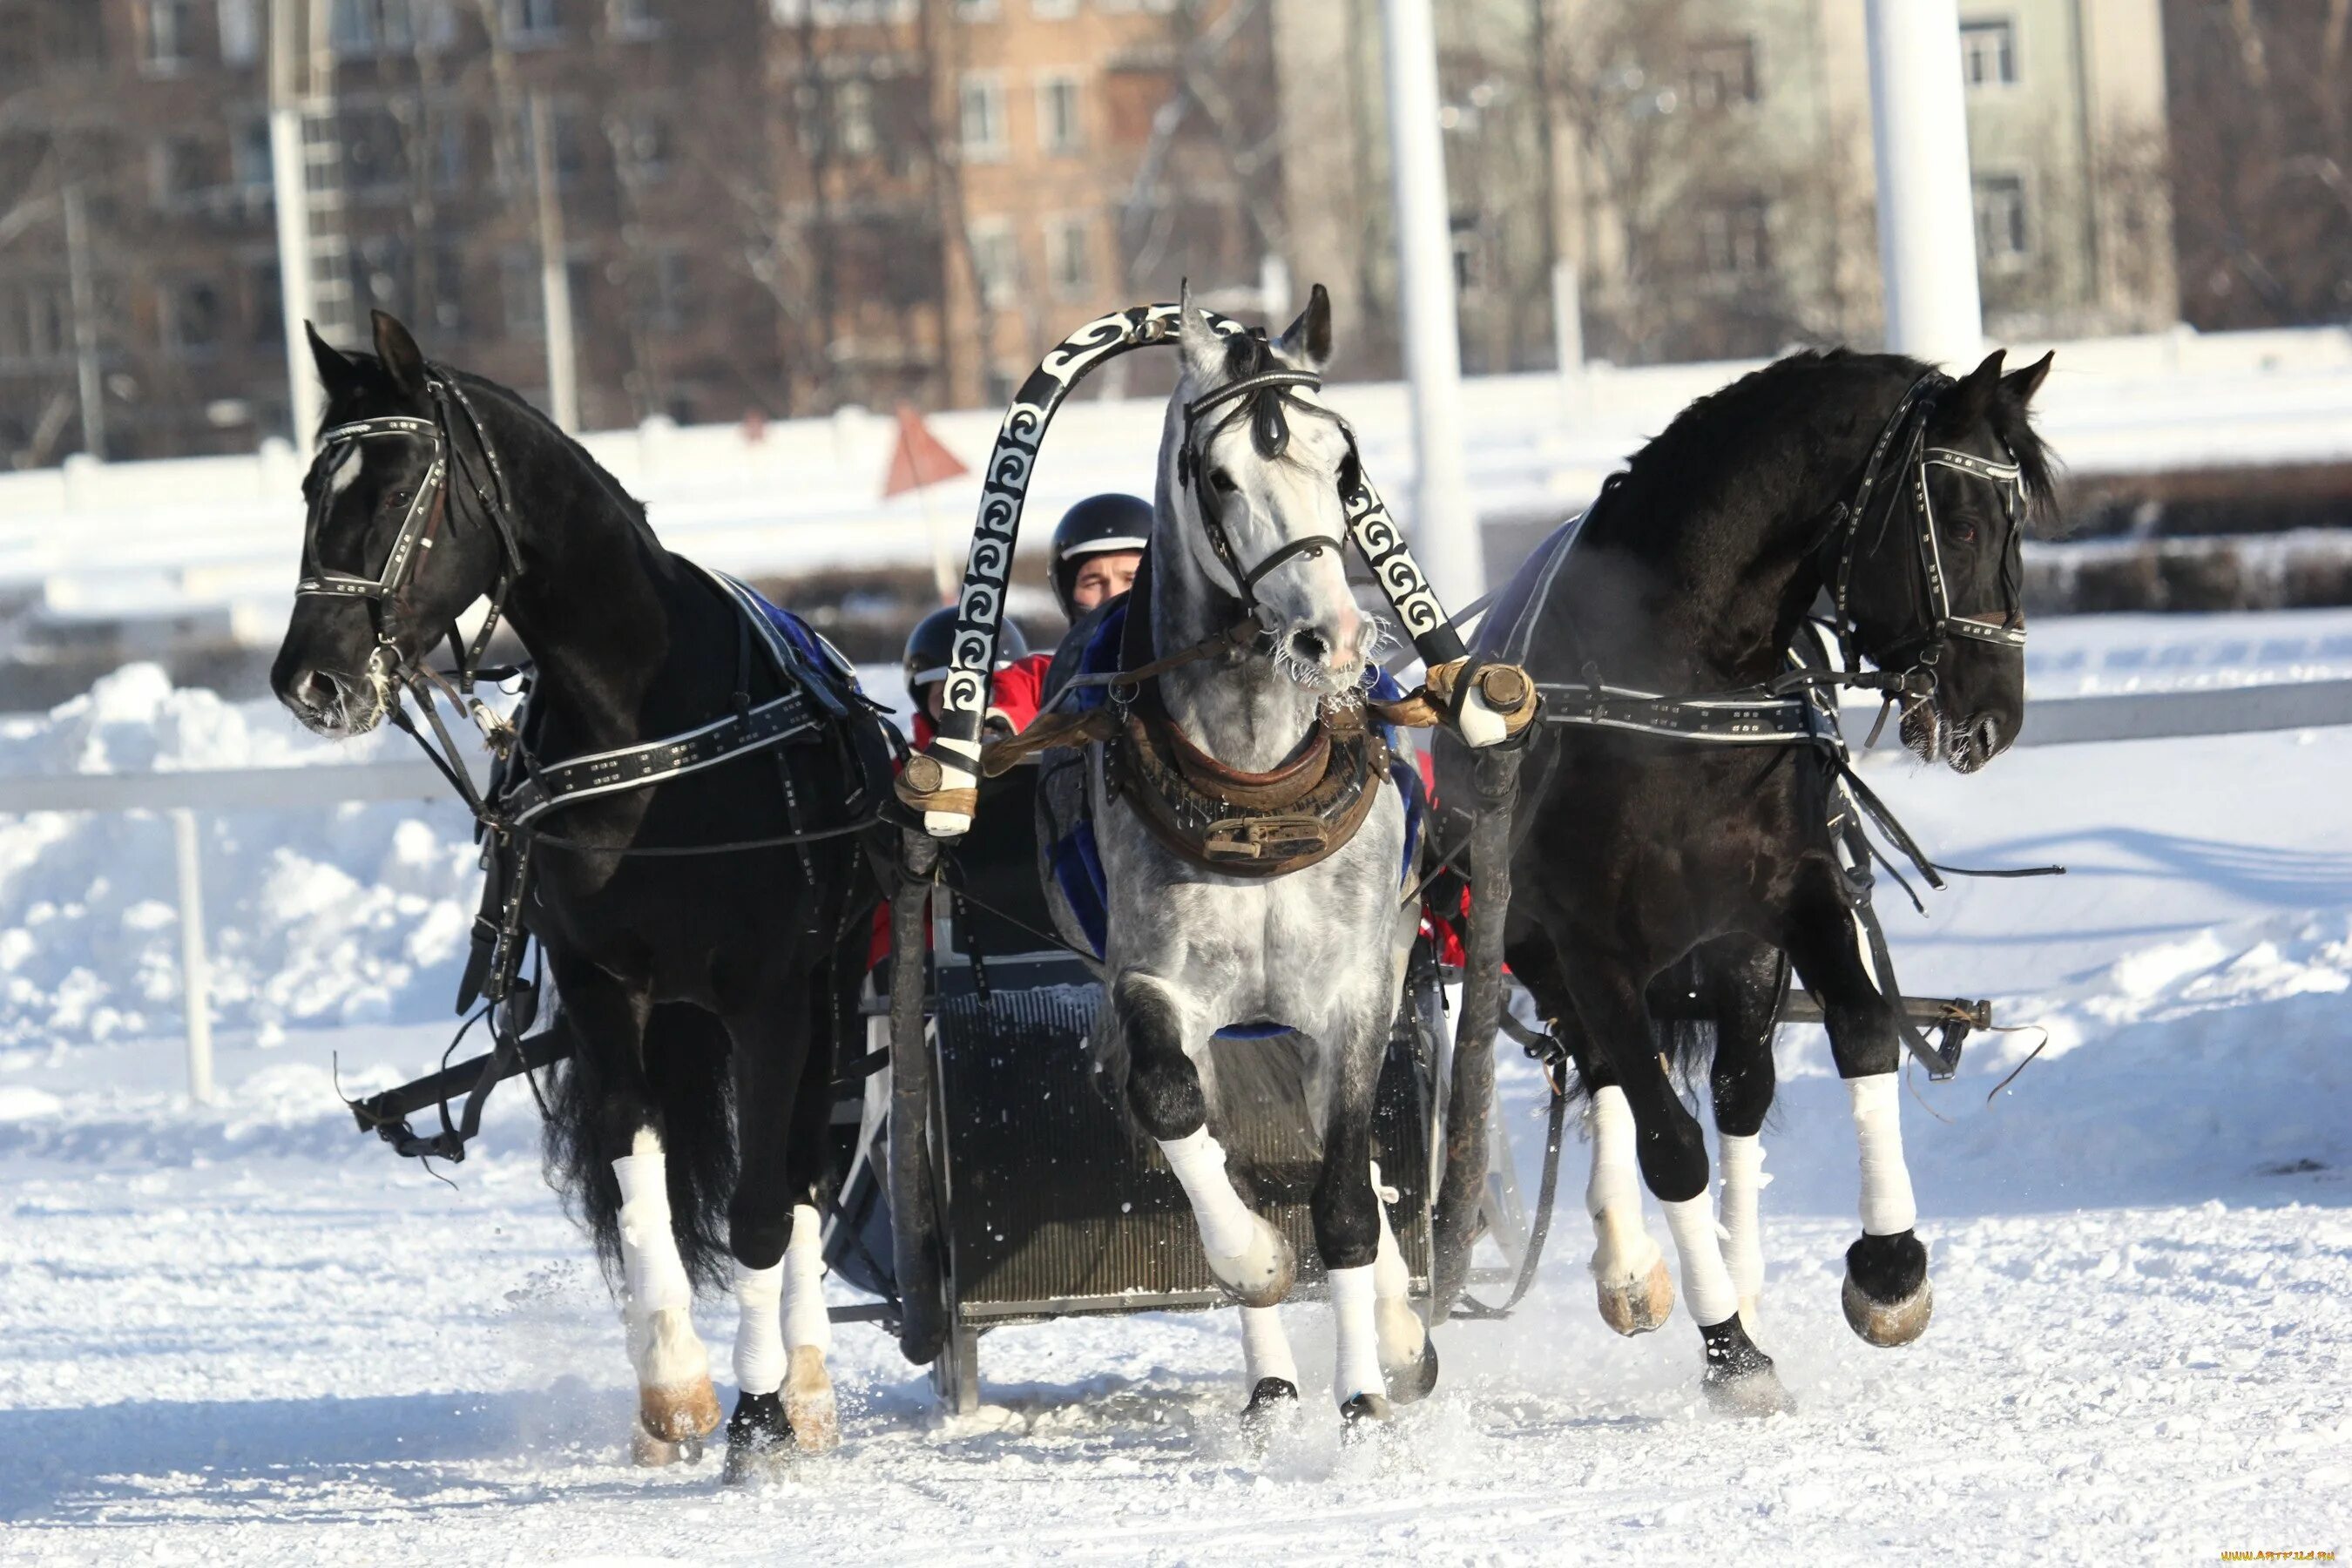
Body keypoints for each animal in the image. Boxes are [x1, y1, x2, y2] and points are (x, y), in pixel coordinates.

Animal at [273, 312, 889, 1476]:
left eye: (394, 488)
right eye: (310, 489)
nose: (309, 681)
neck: (644, 724)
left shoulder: (771, 996)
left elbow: (760, 1208)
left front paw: (760, 1411)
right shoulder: (605, 987)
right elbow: (635, 1170)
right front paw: (676, 1395)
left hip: (833, 999)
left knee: (802, 1174)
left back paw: (805, 1381)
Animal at [1429, 350, 2060, 1419]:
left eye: (2020, 522)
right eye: (1966, 523)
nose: (1994, 720)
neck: (1679, 677)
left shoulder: (1790, 900)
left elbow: (1857, 1031)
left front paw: (1888, 1268)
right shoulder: (1590, 945)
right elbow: (1665, 1138)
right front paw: (1729, 1348)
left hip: (1731, 958)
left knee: (1734, 1091)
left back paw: (1735, 1269)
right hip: (1535, 948)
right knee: (1606, 1072)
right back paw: (1637, 1268)